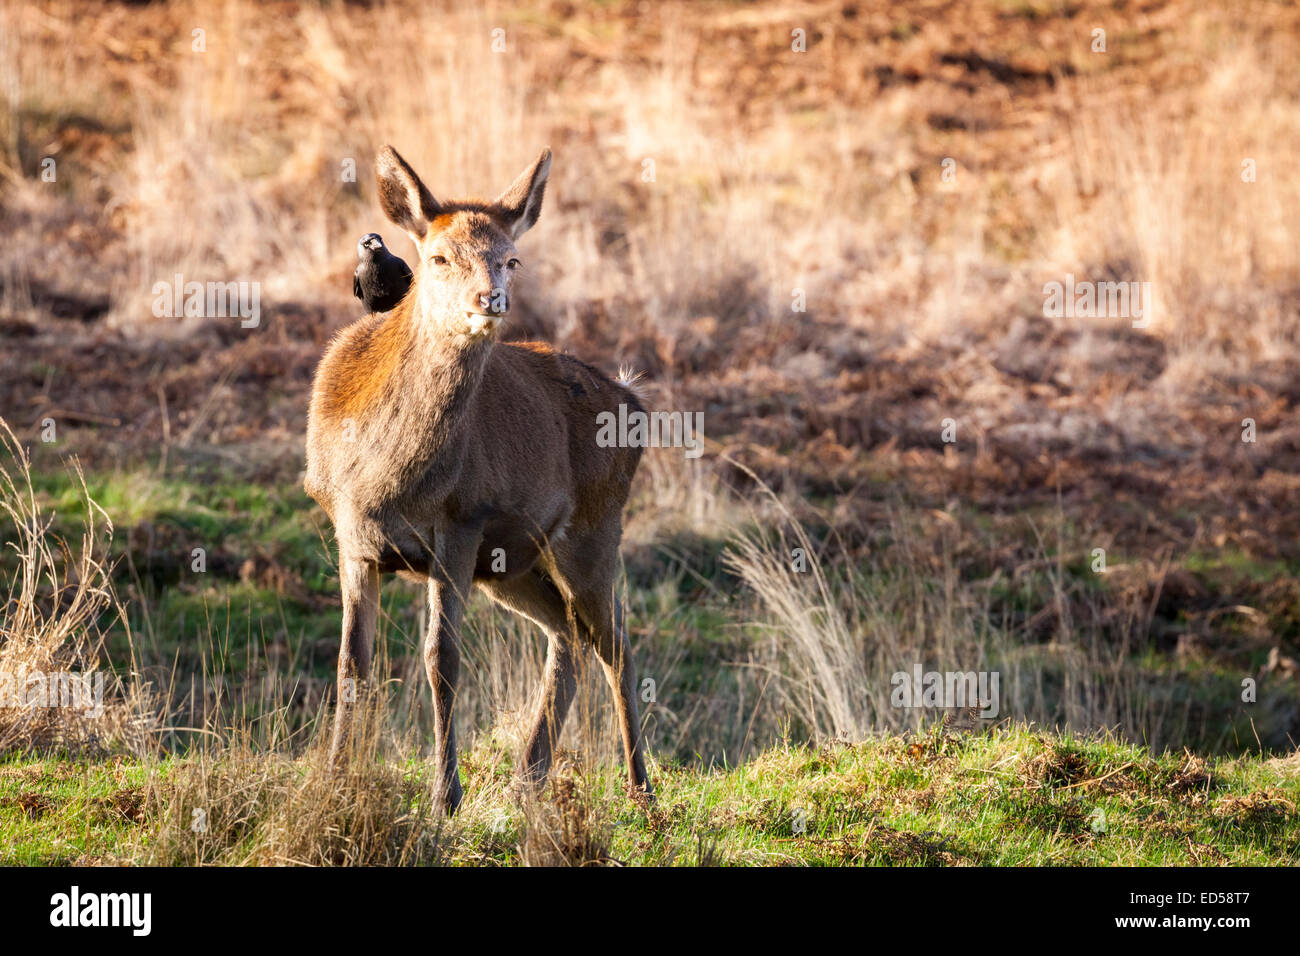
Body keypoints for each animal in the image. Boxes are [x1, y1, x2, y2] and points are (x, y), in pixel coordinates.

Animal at [301, 143, 650, 816]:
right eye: (437, 257)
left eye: (511, 258)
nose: (492, 300)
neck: (385, 478)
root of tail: (634, 400)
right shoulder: (351, 536)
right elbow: (352, 663)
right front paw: (332, 779)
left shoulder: (461, 525)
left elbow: (441, 659)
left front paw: (446, 796)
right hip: (515, 562)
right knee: (569, 633)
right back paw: (528, 776)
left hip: (595, 528)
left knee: (615, 640)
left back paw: (641, 787)